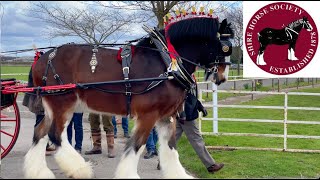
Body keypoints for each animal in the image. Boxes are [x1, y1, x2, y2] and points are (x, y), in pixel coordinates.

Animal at [22, 14, 232, 178]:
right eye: (225, 47)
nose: (223, 77)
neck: (166, 62)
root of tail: (40, 58)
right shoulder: (149, 115)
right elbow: (136, 146)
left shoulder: (166, 116)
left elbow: (170, 147)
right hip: (62, 104)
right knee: (55, 135)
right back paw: (79, 169)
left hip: (54, 107)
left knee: (40, 132)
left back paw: (39, 172)